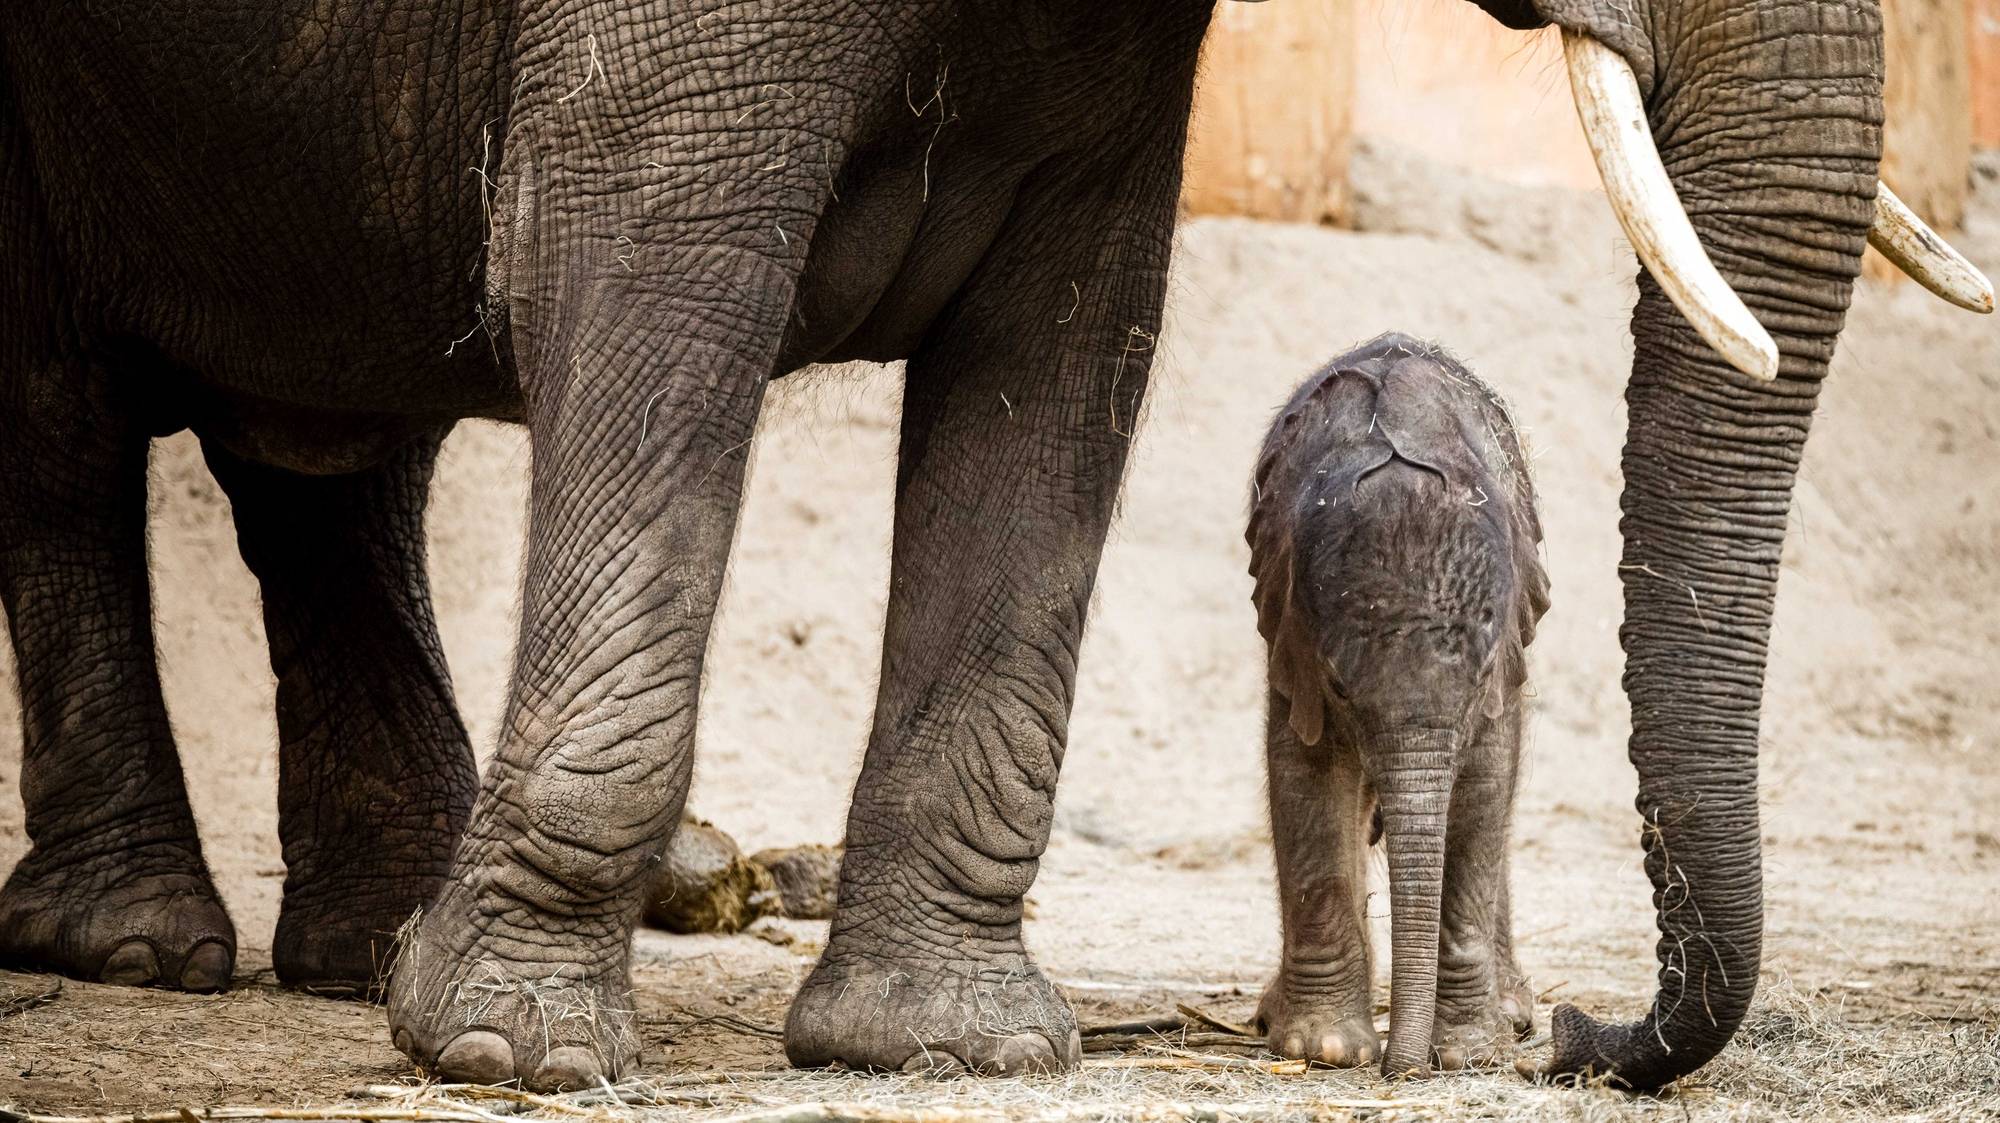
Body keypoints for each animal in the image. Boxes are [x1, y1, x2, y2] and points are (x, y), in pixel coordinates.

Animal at [1248, 333, 1544, 1079]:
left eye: (1477, 679)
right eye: (1340, 686)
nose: (1400, 1070)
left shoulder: (1499, 666)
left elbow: (1484, 790)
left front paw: (1469, 1052)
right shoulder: (1293, 631)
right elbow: (1306, 776)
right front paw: (1322, 1048)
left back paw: (1513, 1013)